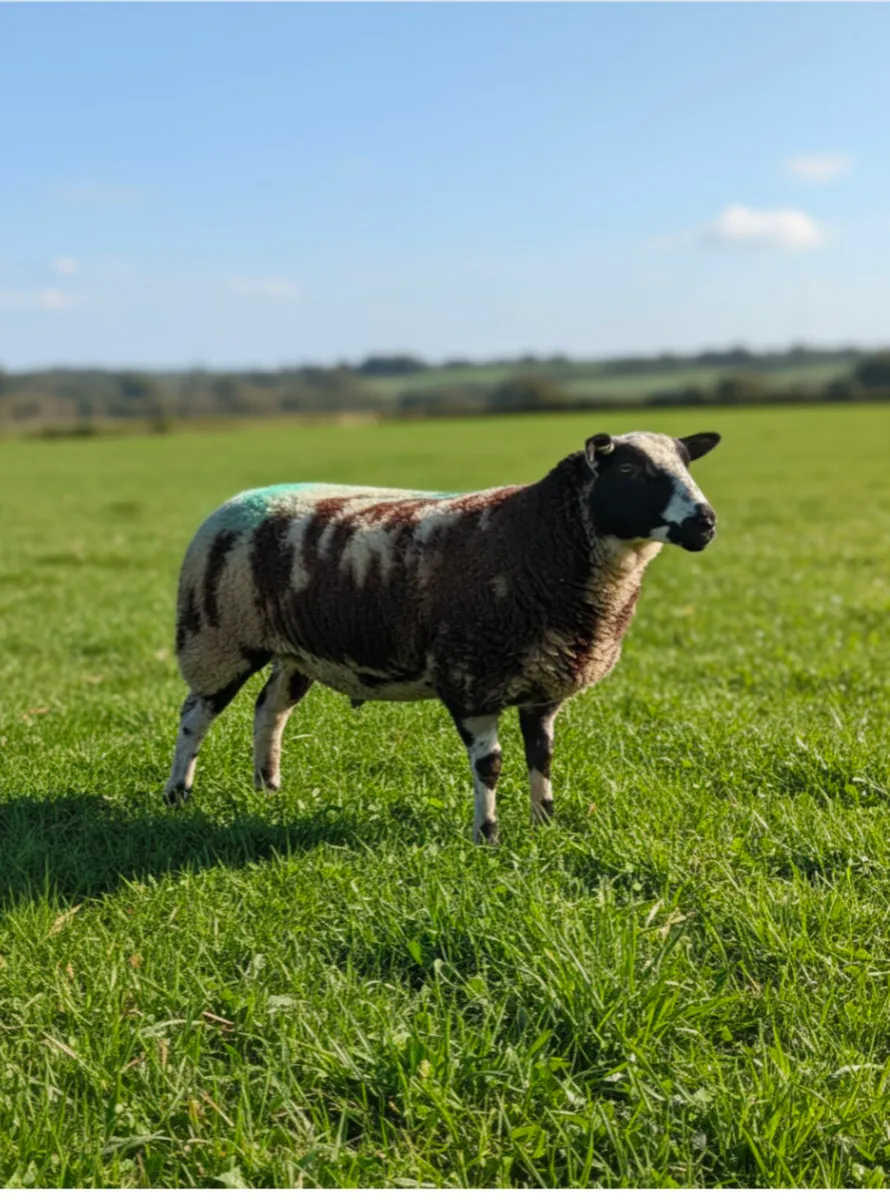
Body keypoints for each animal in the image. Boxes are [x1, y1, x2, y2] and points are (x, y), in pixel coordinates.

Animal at [165, 429, 721, 842]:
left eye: (687, 466)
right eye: (628, 471)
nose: (706, 522)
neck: (536, 537)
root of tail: (237, 499)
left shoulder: (543, 685)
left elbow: (541, 757)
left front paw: (545, 826)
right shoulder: (472, 678)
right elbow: (490, 766)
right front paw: (487, 837)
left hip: (294, 650)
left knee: (270, 710)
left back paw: (268, 788)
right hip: (216, 638)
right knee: (195, 716)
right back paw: (177, 795)